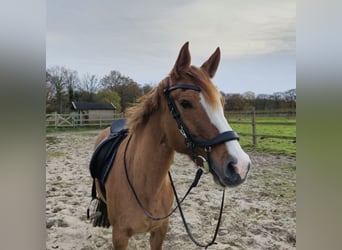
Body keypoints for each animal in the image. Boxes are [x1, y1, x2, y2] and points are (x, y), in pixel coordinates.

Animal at [91, 42, 251, 249]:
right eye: (185, 103)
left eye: (222, 103)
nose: (240, 166)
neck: (145, 185)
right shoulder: (119, 236)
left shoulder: (159, 232)